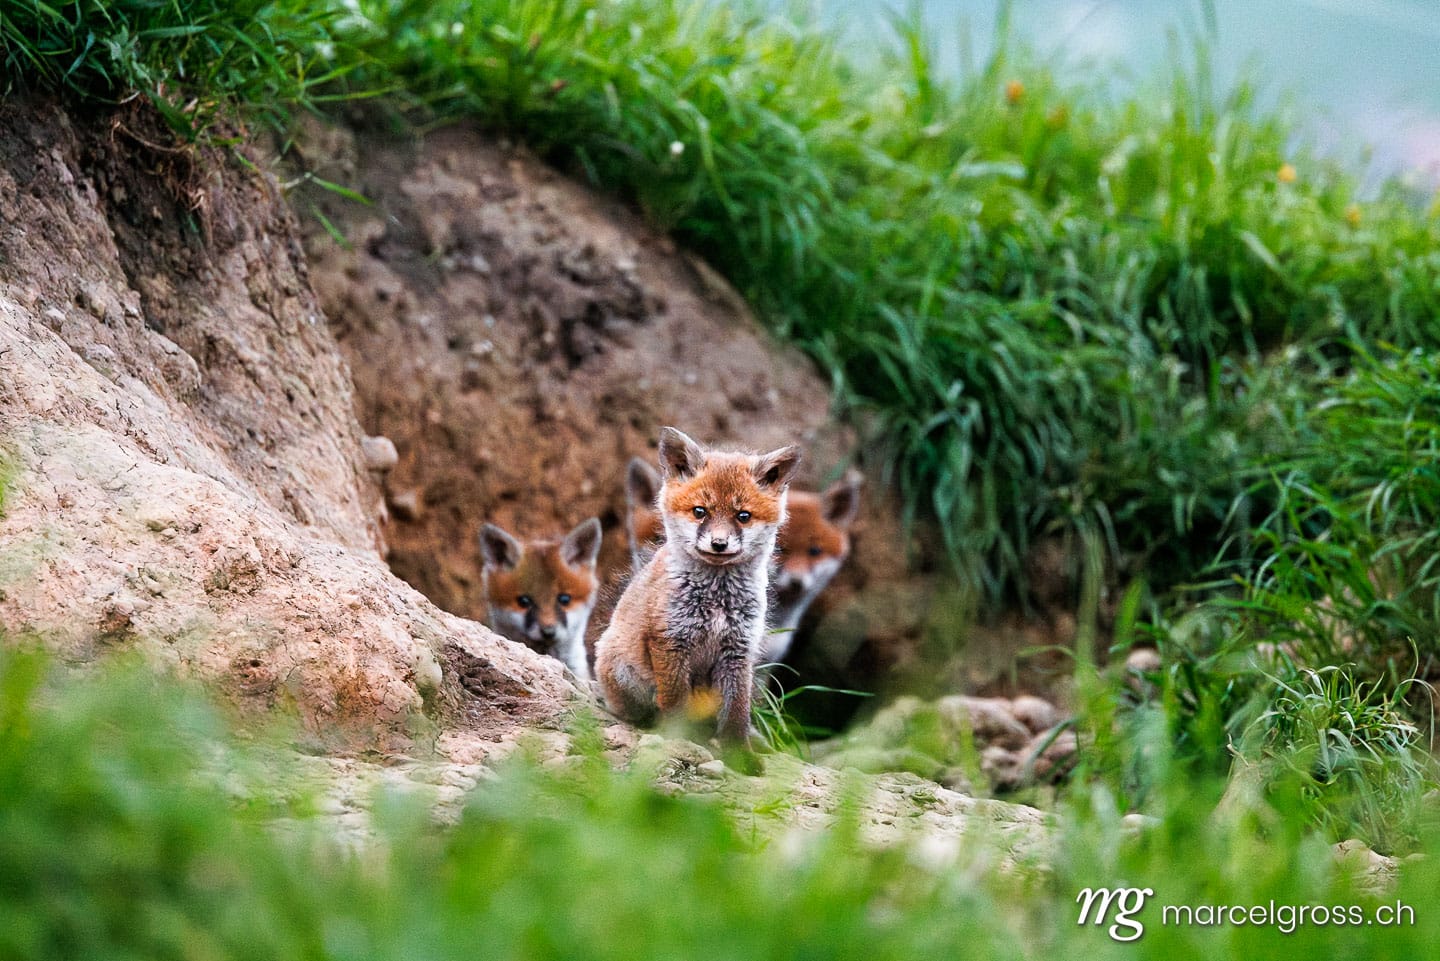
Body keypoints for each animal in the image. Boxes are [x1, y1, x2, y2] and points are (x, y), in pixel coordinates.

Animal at [596, 427, 802, 752]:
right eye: (700, 512)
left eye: (743, 516)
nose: (719, 543)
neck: (717, 601)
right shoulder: (670, 640)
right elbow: (674, 702)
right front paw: (680, 739)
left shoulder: (739, 649)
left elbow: (737, 711)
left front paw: (739, 754)